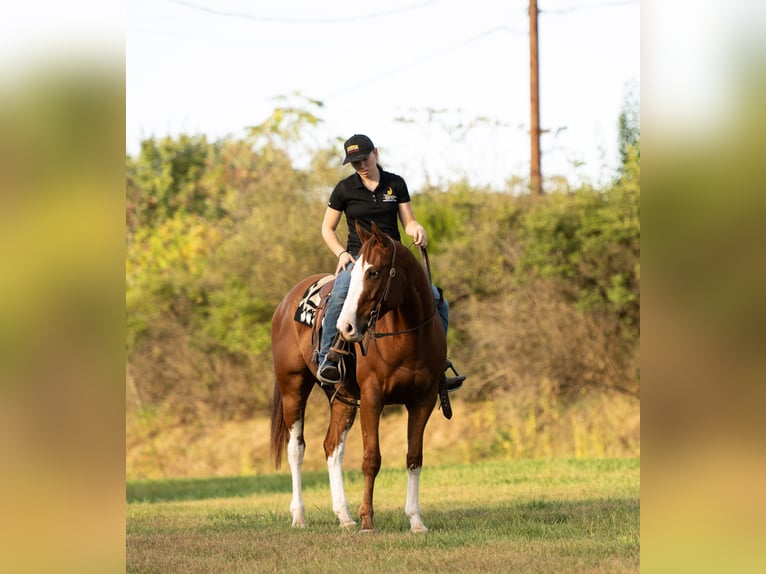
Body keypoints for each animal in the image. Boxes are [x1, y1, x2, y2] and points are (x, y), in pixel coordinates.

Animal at [270, 222, 448, 532]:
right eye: (354, 272)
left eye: (374, 272)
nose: (346, 327)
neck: (407, 337)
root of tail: (285, 303)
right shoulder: (372, 398)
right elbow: (371, 458)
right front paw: (367, 520)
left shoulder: (422, 401)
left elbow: (414, 458)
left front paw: (415, 520)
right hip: (293, 386)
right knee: (296, 449)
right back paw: (299, 515)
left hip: (341, 396)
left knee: (332, 447)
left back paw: (344, 515)